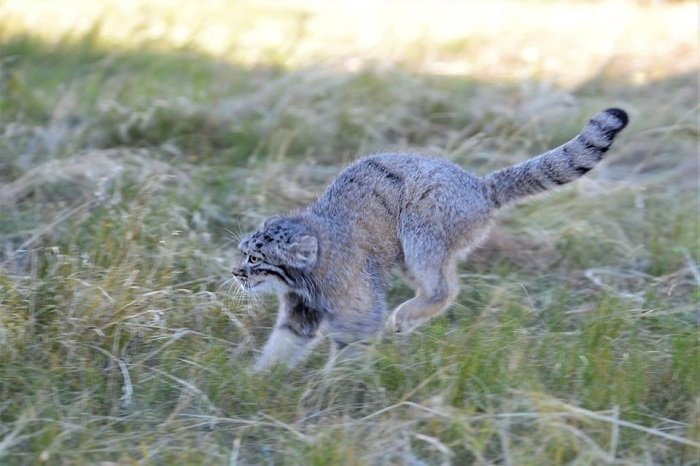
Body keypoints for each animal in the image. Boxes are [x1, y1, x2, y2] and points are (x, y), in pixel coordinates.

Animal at [234, 107, 628, 370]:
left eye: (256, 260)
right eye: (242, 253)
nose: (235, 273)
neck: (307, 275)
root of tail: (479, 186)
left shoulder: (358, 308)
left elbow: (351, 345)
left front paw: (328, 393)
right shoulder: (301, 307)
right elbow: (284, 343)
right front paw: (260, 382)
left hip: (421, 232)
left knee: (444, 289)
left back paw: (406, 315)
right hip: (410, 254)